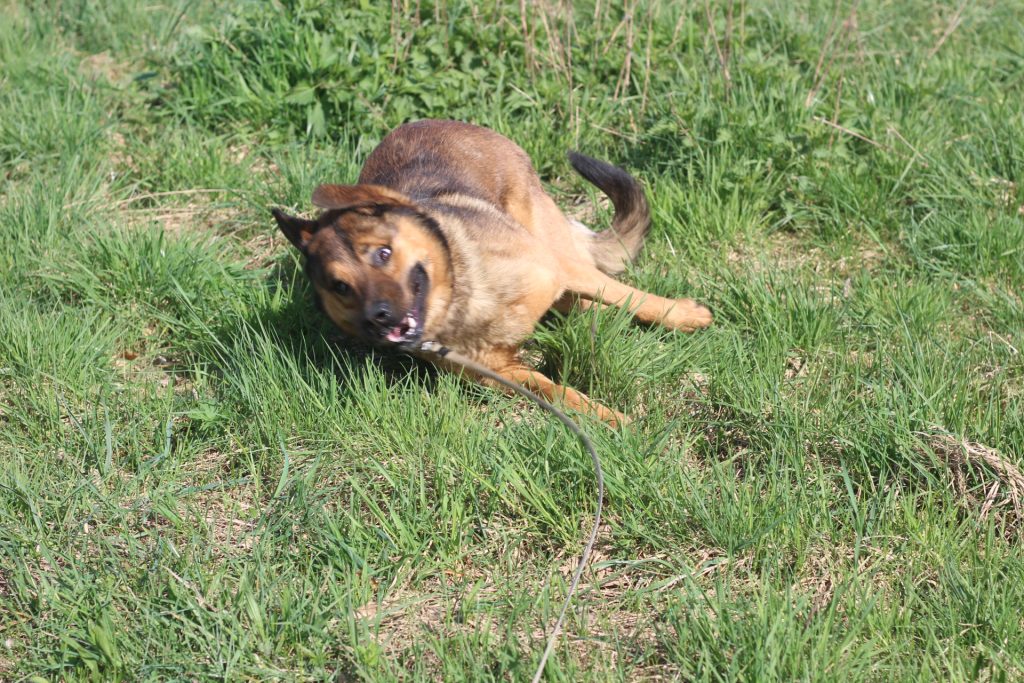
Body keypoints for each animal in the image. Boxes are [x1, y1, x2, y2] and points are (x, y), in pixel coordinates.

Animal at [272, 120, 712, 426]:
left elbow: (634, 297)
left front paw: (687, 317)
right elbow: (558, 392)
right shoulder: (506, 373)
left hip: (546, 235)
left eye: (383, 253)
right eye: (340, 286)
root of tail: (435, 121)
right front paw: (610, 419)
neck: (464, 298)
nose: (378, 318)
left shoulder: (561, 270)